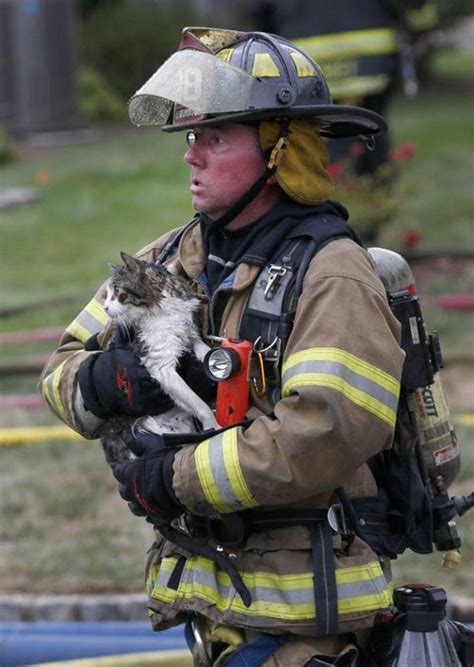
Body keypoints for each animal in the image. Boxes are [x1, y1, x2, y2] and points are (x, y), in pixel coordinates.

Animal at [102, 252, 218, 464]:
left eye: (118, 293)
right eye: (107, 294)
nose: (105, 307)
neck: (164, 308)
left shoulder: (190, 334)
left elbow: (204, 350)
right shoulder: (160, 365)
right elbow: (198, 403)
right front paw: (214, 426)